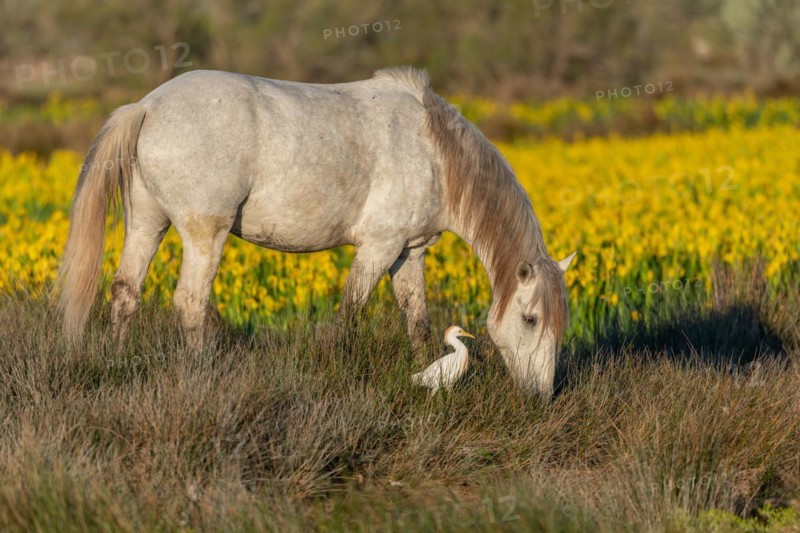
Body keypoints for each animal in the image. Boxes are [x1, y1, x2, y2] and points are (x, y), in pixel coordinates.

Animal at [58, 67, 576, 397]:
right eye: (531, 319)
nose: (539, 396)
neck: (434, 150)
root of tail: (147, 105)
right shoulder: (377, 248)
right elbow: (349, 314)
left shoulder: (409, 253)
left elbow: (417, 320)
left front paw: (426, 373)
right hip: (206, 233)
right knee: (189, 302)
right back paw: (201, 373)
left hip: (148, 222)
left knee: (126, 291)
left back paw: (118, 362)